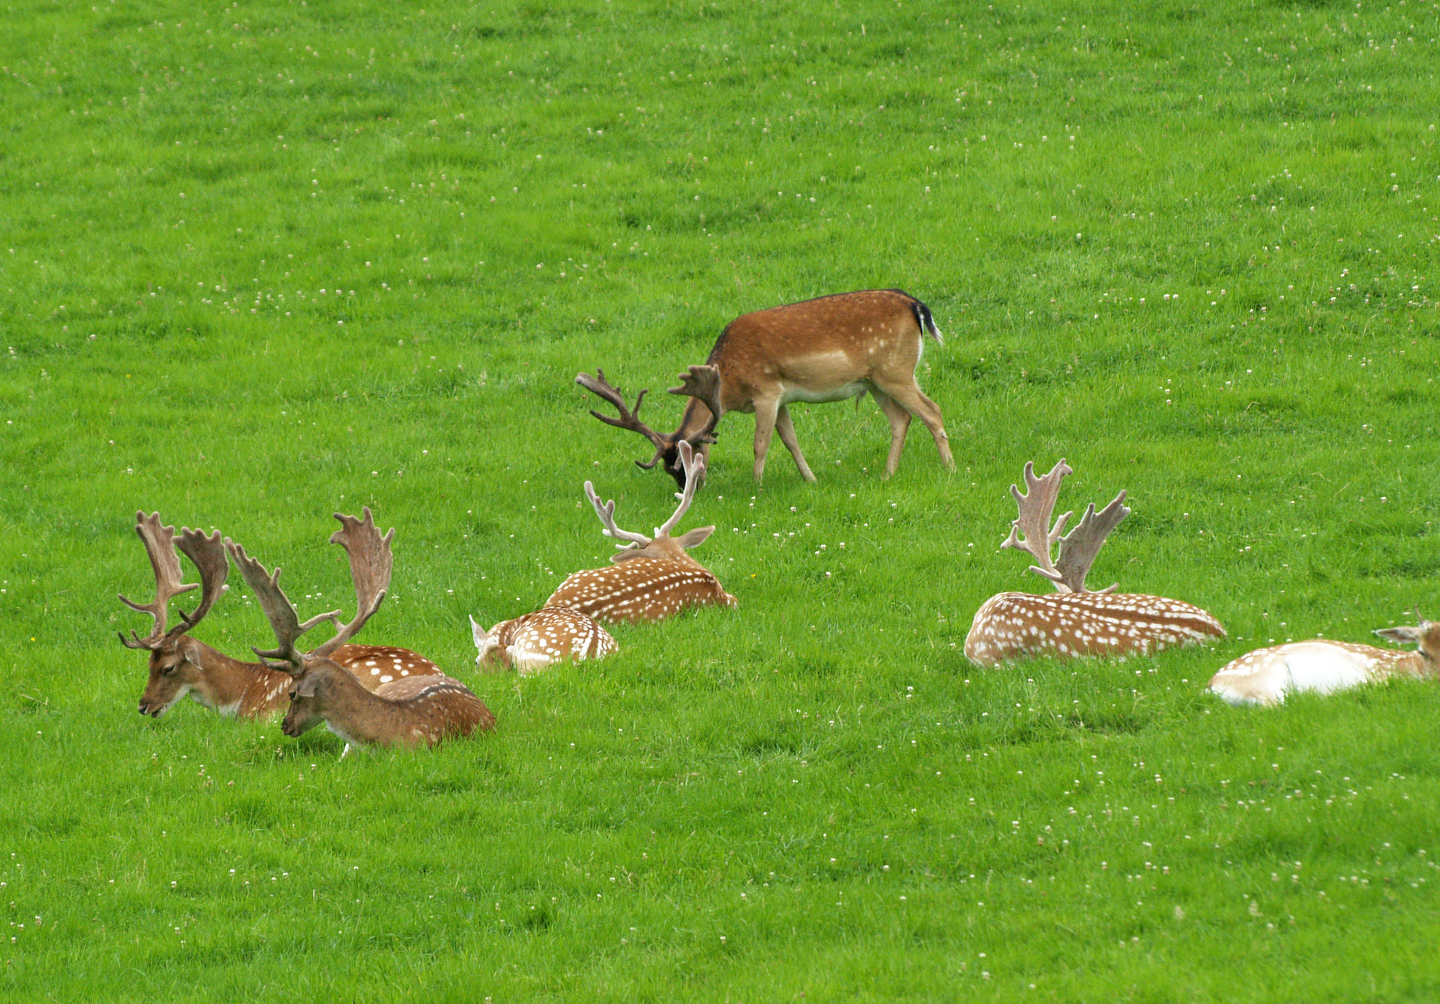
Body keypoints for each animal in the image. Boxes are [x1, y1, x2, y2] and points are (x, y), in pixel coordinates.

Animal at [577, 288, 955, 488]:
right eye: (670, 469)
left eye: (689, 462)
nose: (688, 491)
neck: (729, 382)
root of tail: (915, 305)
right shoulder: (783, 399)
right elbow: (790, 440)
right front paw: (810, 479)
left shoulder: (766, 392)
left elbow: (761, 444)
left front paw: (757, 485)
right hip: (875, 380)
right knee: (901, 419)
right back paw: (887, 475)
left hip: (896, 370)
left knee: (932, 411)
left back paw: (950, 469)